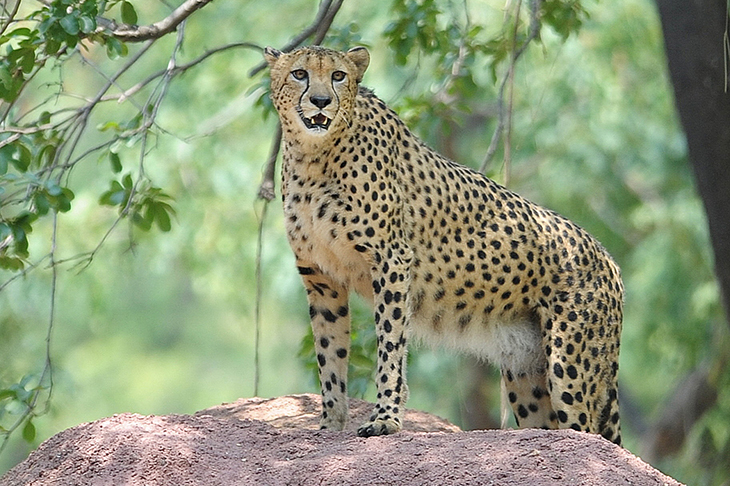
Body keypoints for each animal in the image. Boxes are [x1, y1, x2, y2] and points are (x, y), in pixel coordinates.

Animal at [264, 45, 624, 445]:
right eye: (299, 74)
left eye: (338, 76)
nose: (321, 101)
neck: (314, 156)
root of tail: (609, 259)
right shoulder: (320, 277)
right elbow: (330, 356)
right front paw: (330, 423)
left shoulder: (391, 261)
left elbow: (389, 346)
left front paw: (386, 420)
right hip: (526, 374)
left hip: (570, 370)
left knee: (586, 432)